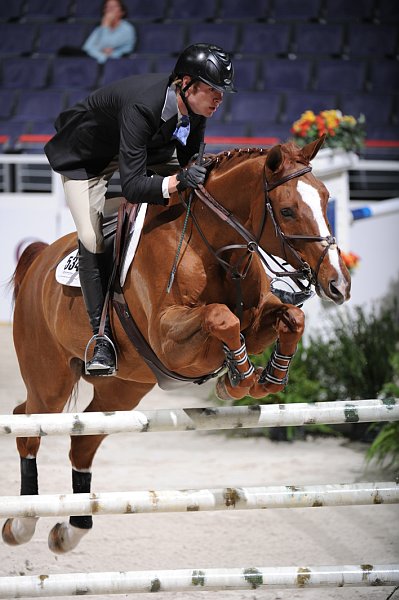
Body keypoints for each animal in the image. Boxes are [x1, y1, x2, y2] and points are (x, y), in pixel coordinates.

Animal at [2, 136, 350, 552]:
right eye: (287, 210)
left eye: (326, 199)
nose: (338, 284)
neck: (212, 246)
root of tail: (38, 259)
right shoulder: (169, 341)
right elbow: (221, 317)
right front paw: (240, 377)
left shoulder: (257, 318)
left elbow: (291, 318)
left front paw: (264, 378)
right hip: (50, 381)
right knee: (27, 422)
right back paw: (21, 523)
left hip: (124, 389)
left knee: (83, 440)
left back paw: (71, 529)